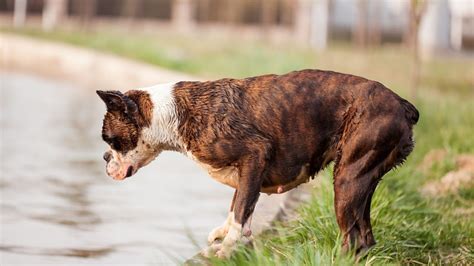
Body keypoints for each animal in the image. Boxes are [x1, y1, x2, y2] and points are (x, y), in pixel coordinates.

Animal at [97, 69, 418, 258]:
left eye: (110, 140)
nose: (103, 158)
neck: (170, 114)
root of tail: (402, 104)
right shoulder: (246, 173)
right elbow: (238, 204)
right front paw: (224, 234)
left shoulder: (254, 155)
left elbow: (241, 211)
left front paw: (227, 247)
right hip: (362, 179)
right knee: (365, 235)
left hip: (347, 180)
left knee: (353, 238)